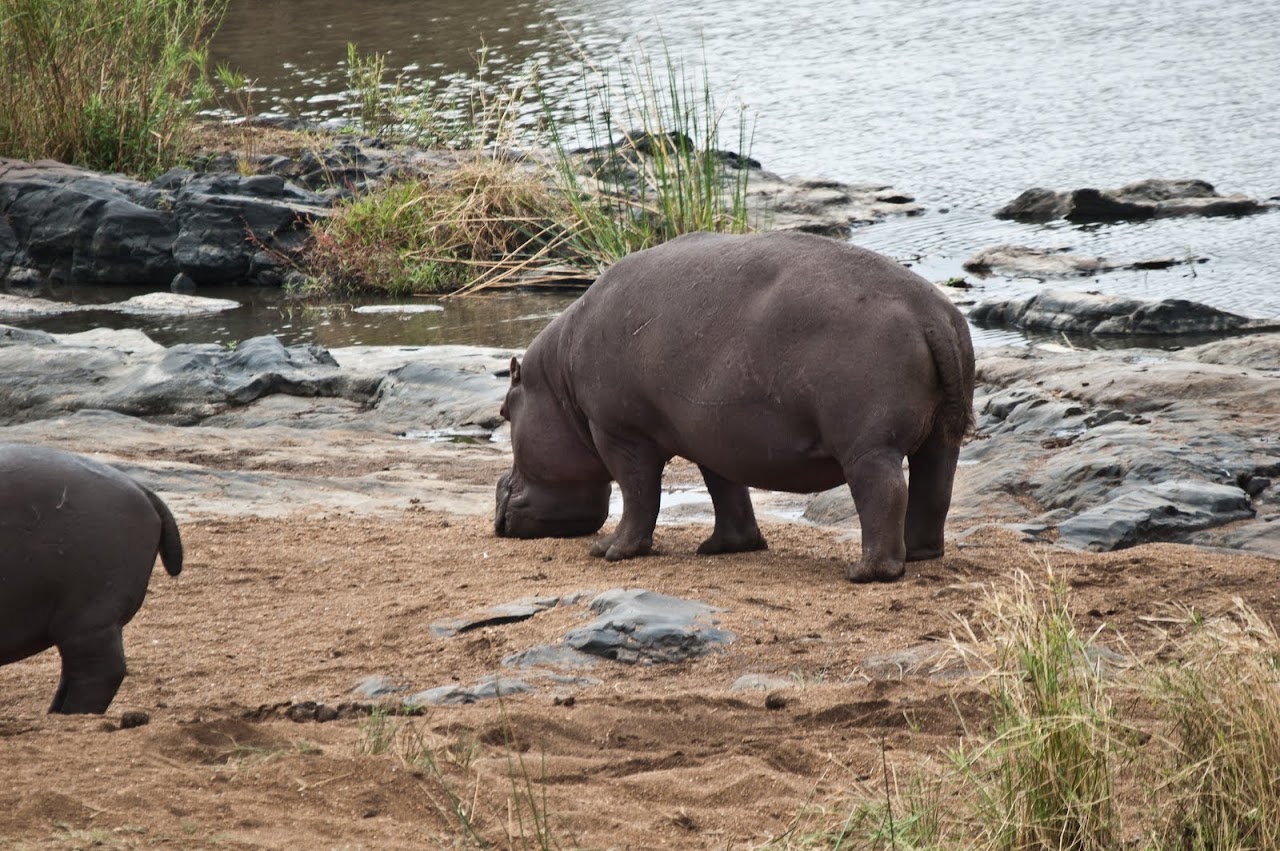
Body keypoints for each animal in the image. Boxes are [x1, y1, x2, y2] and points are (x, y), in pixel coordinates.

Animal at [495, 231, 975, 582]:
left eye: (504, 413)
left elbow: (638, 493)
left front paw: (609, 551)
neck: (556, 382)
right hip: (940, 438)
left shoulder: (618, 432)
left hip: (869, 446)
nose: (501, 487)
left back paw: (865, 572)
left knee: (885, 492)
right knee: (935, 489)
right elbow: (725, 490)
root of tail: (932, 314)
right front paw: (722, 547)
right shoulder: (712, 436)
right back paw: (921, 553)